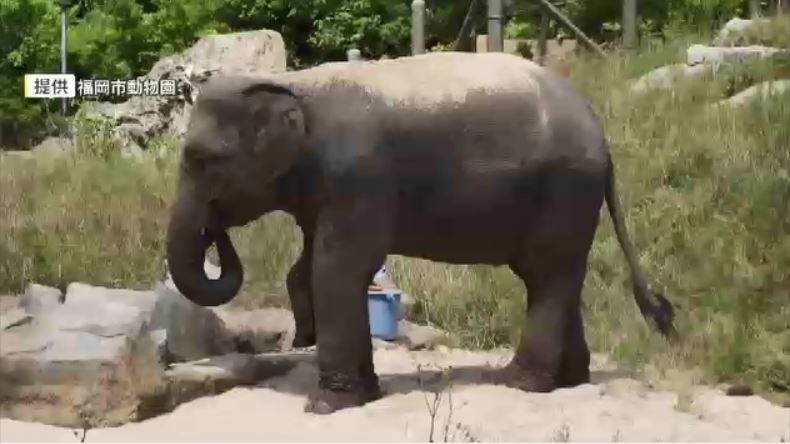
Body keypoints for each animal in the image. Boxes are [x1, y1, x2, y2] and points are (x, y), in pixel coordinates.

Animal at [166, 52, 676, 416]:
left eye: (201, 160)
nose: (214, 233)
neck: (296, 83)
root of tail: (602, 135)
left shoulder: (358, 176)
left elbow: (337, 269)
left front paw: (327, 406)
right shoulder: (327, 190)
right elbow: (312, 267)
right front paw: (366, 395)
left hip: (564, 189)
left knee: (546, 275)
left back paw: (521, 383)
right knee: (558, 276)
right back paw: (568, 382)